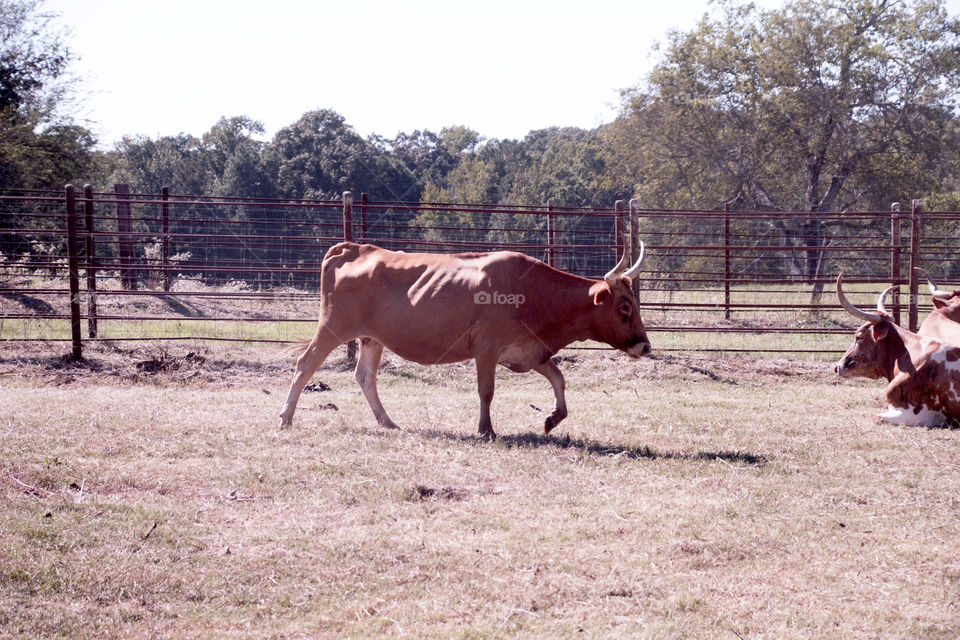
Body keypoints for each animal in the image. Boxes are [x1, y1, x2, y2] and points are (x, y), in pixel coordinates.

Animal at [279, 241, 652, 438]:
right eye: (624, 306)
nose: (645, 346)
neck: (533, 292)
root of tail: (355, 248)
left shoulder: (529, 351)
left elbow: (559, 379)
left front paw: (553, 418)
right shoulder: (486, 349)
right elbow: (486, 391)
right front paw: (486, 429)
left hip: (372, 338)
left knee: (365, 377)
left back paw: (387, 422)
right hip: (333, 328)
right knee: (305, 364)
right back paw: (286, 417)